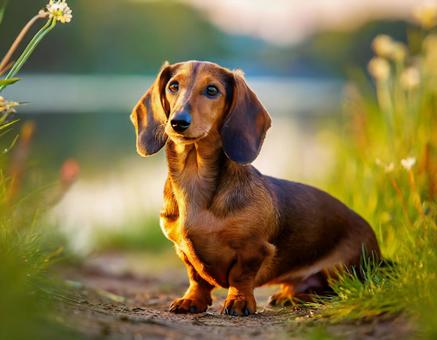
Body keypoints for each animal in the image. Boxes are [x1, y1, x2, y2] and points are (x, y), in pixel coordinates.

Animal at [131, 60, 380, 316]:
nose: (178, 122)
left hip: (339, 269)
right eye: (173, 86)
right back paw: (287, 295)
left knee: (334, 290)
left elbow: (241, 276)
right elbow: (196, 277)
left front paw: (239, 300)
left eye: (212, 90)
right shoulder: (182, 249)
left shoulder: (255, 249)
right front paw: (191, 299)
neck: (194, 177)